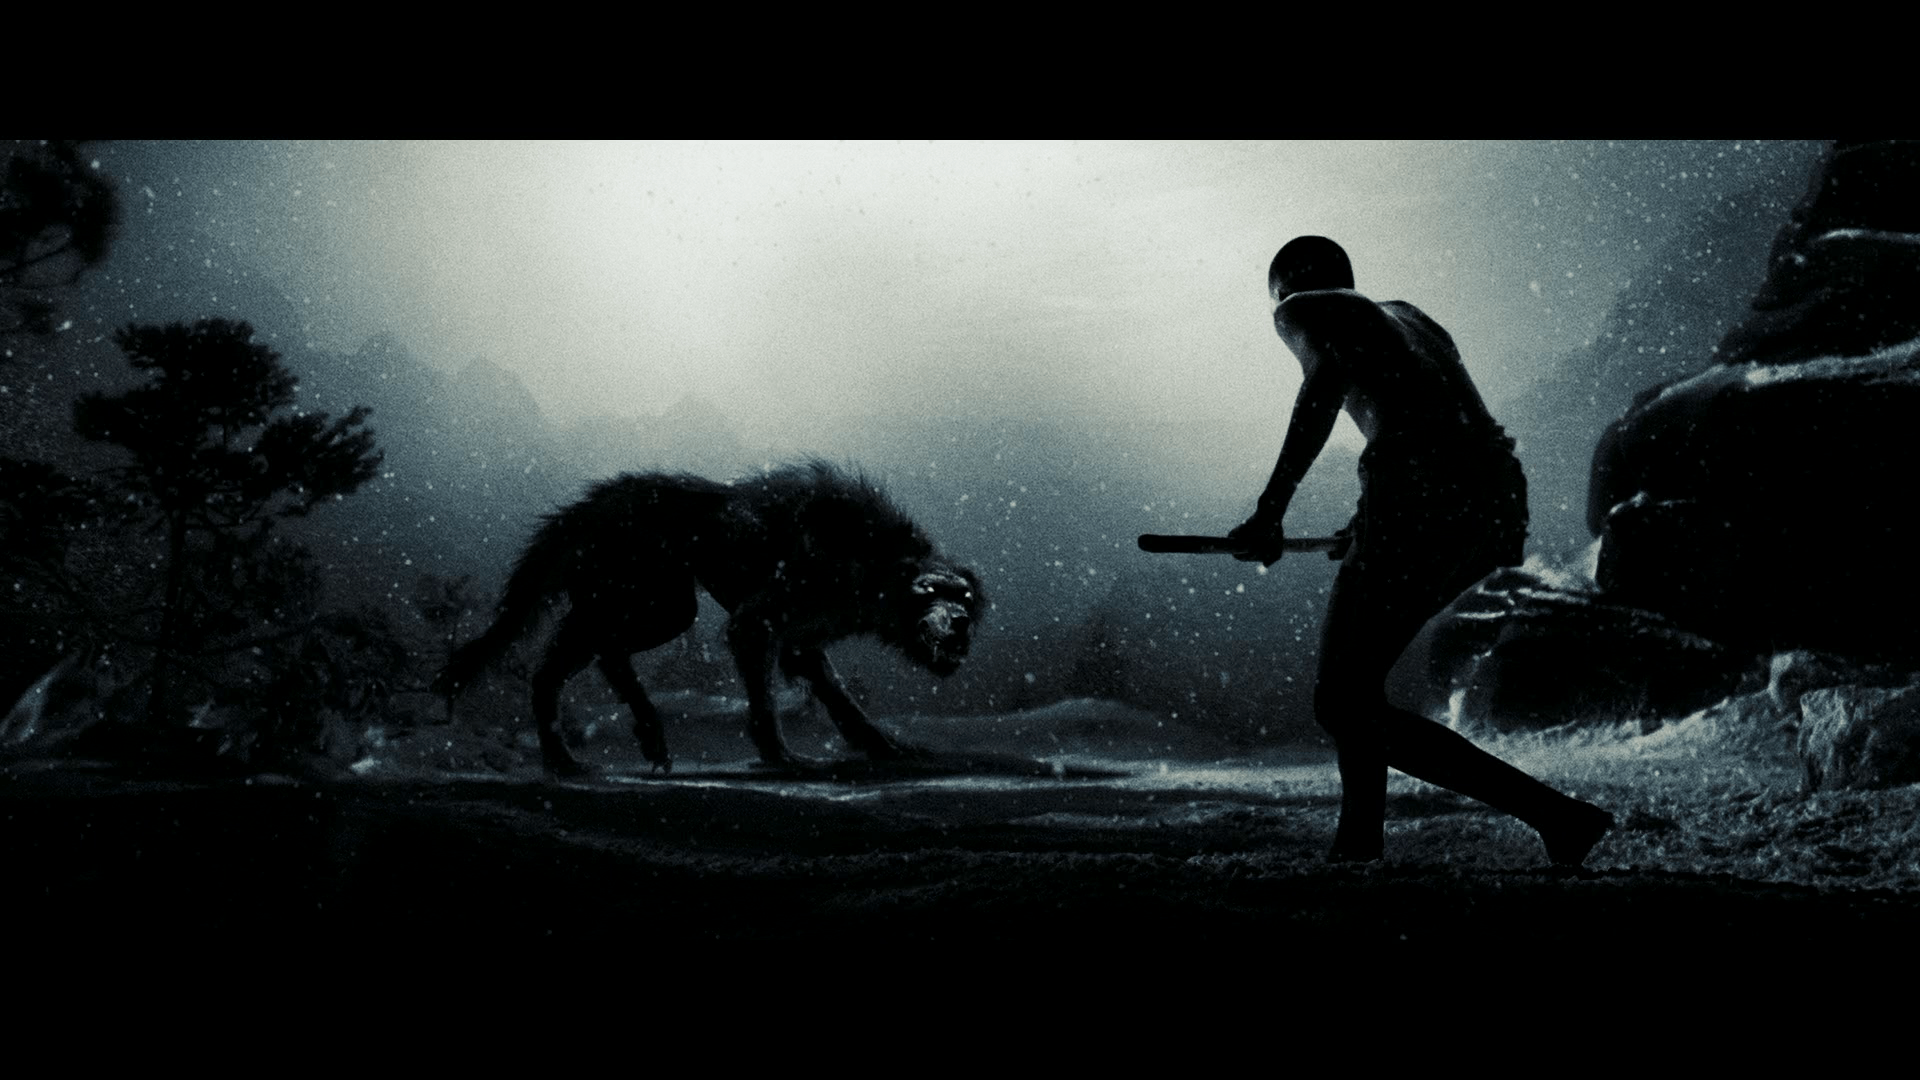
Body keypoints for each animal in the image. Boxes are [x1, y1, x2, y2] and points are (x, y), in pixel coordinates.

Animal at [433, 461, 984, 775]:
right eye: (929, 593)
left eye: (964, 596)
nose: (956, 619)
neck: (875, 565)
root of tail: (590, 506)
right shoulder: (761, 620)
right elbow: (765, 696)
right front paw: (778, 755)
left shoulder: (804, 640)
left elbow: (840, 699)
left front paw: (886, 747)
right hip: (659, 603)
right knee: (608, 650)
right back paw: (644, 730)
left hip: (608, 601)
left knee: (552, 670)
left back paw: (564, 759)